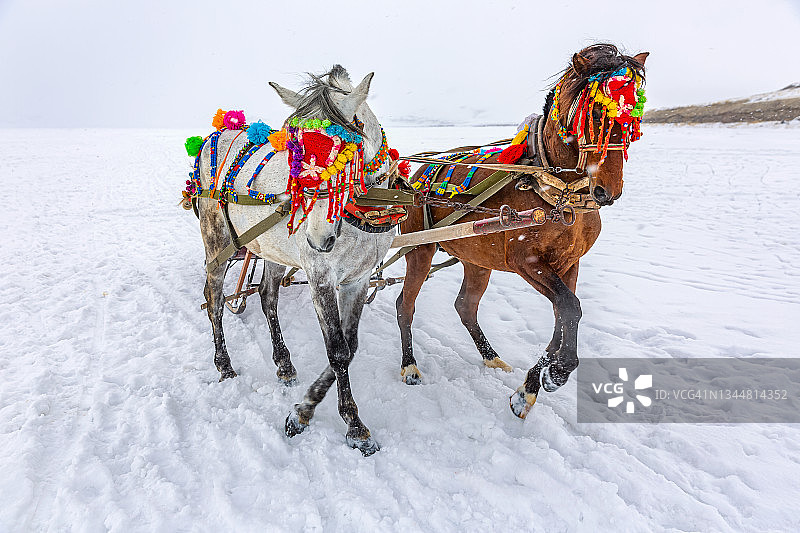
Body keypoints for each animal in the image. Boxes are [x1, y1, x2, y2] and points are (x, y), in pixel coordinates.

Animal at [196, 66, 395, 455]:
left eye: (344, 156)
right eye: (293, 154)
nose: (317, 238)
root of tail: (218, 133)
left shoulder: (358, 279)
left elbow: (350, 345)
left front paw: (305, 408)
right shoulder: (321, 278)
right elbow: (337, 350)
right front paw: (351, 425)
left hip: (270, 249)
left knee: (267, 298)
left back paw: (284, 363)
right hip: (218, 243)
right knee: (214, 301)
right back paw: (224, 365)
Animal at [395, 44, 649, 418]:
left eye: (634, 120)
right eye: (595, 114)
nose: (608, 191)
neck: (559, 193)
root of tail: (416, 174)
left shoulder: (569, 263)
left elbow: (565, 312)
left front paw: (533, 385)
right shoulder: (525, 260)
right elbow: (570, 307)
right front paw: (557, 373)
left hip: (477, 259)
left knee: (465, 306)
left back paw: (492, 358)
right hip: (420, 249)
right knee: (405, 305)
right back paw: (409, 365)